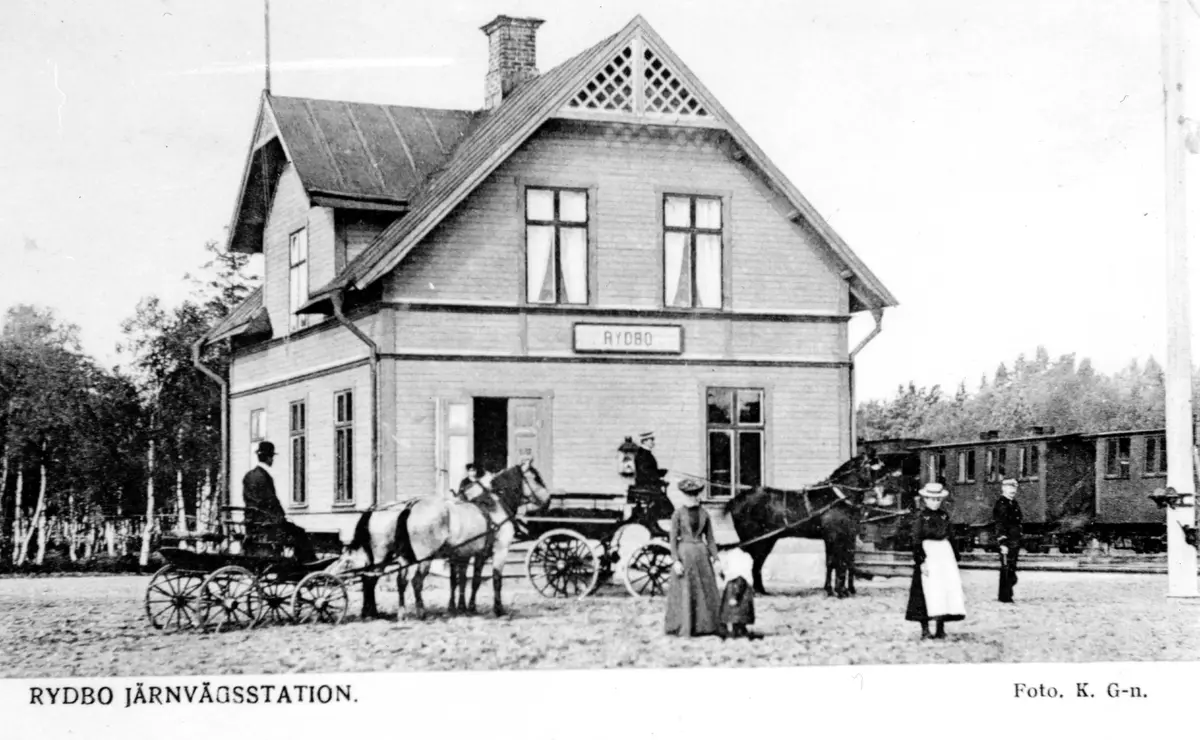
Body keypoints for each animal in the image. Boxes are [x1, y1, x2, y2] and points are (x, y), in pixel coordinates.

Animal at [332, 459, 551, 620]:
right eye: (536, 477)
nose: (548, 500)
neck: (492, 505)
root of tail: (409, 507)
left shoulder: (471, 554)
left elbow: (468, 581)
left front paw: (465, 607)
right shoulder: (499, 550)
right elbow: (495, 580)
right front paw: (498, 609)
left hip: (392, 556)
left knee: (387, 580)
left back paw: (388, 612)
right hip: (415, 557)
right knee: (411, 581)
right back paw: (418, 612)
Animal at [724, 451, 903, 598]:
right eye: (878, 467)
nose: (897, 486)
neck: (838, 497)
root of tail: (735, 500)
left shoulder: (843, 536)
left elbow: (839, 562)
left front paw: (833, 589)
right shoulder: (835, 535)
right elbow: (836, 562)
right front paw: (840, 591)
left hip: (768, 540)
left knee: (757, 565)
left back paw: (761, 590)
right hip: (759, 541)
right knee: (754, 564)